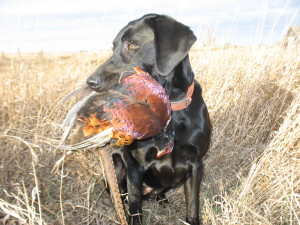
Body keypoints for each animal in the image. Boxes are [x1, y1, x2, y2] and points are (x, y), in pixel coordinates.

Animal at [85, 14, 212, 225]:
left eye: (132, 45)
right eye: (113, 47)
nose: (91, 82)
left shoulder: (196, 164)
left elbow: (193, 209)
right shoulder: (135, 167)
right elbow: (135, 211)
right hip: (116, 161)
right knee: (120, 195)